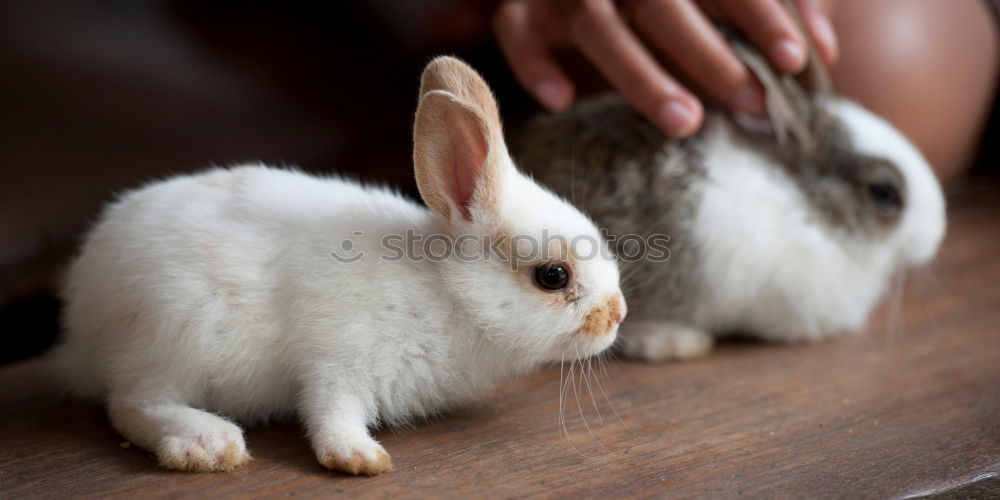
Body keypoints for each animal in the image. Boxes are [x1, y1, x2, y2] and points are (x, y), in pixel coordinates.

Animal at [54, 56, 624, 474]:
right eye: (553, 276)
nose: (616, 315)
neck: (447, 292)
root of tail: (83, 317)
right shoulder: (338, 360)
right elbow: (331, 412)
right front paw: (360, 458)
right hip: (176, 331)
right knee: (132, 403)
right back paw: (208, 443)